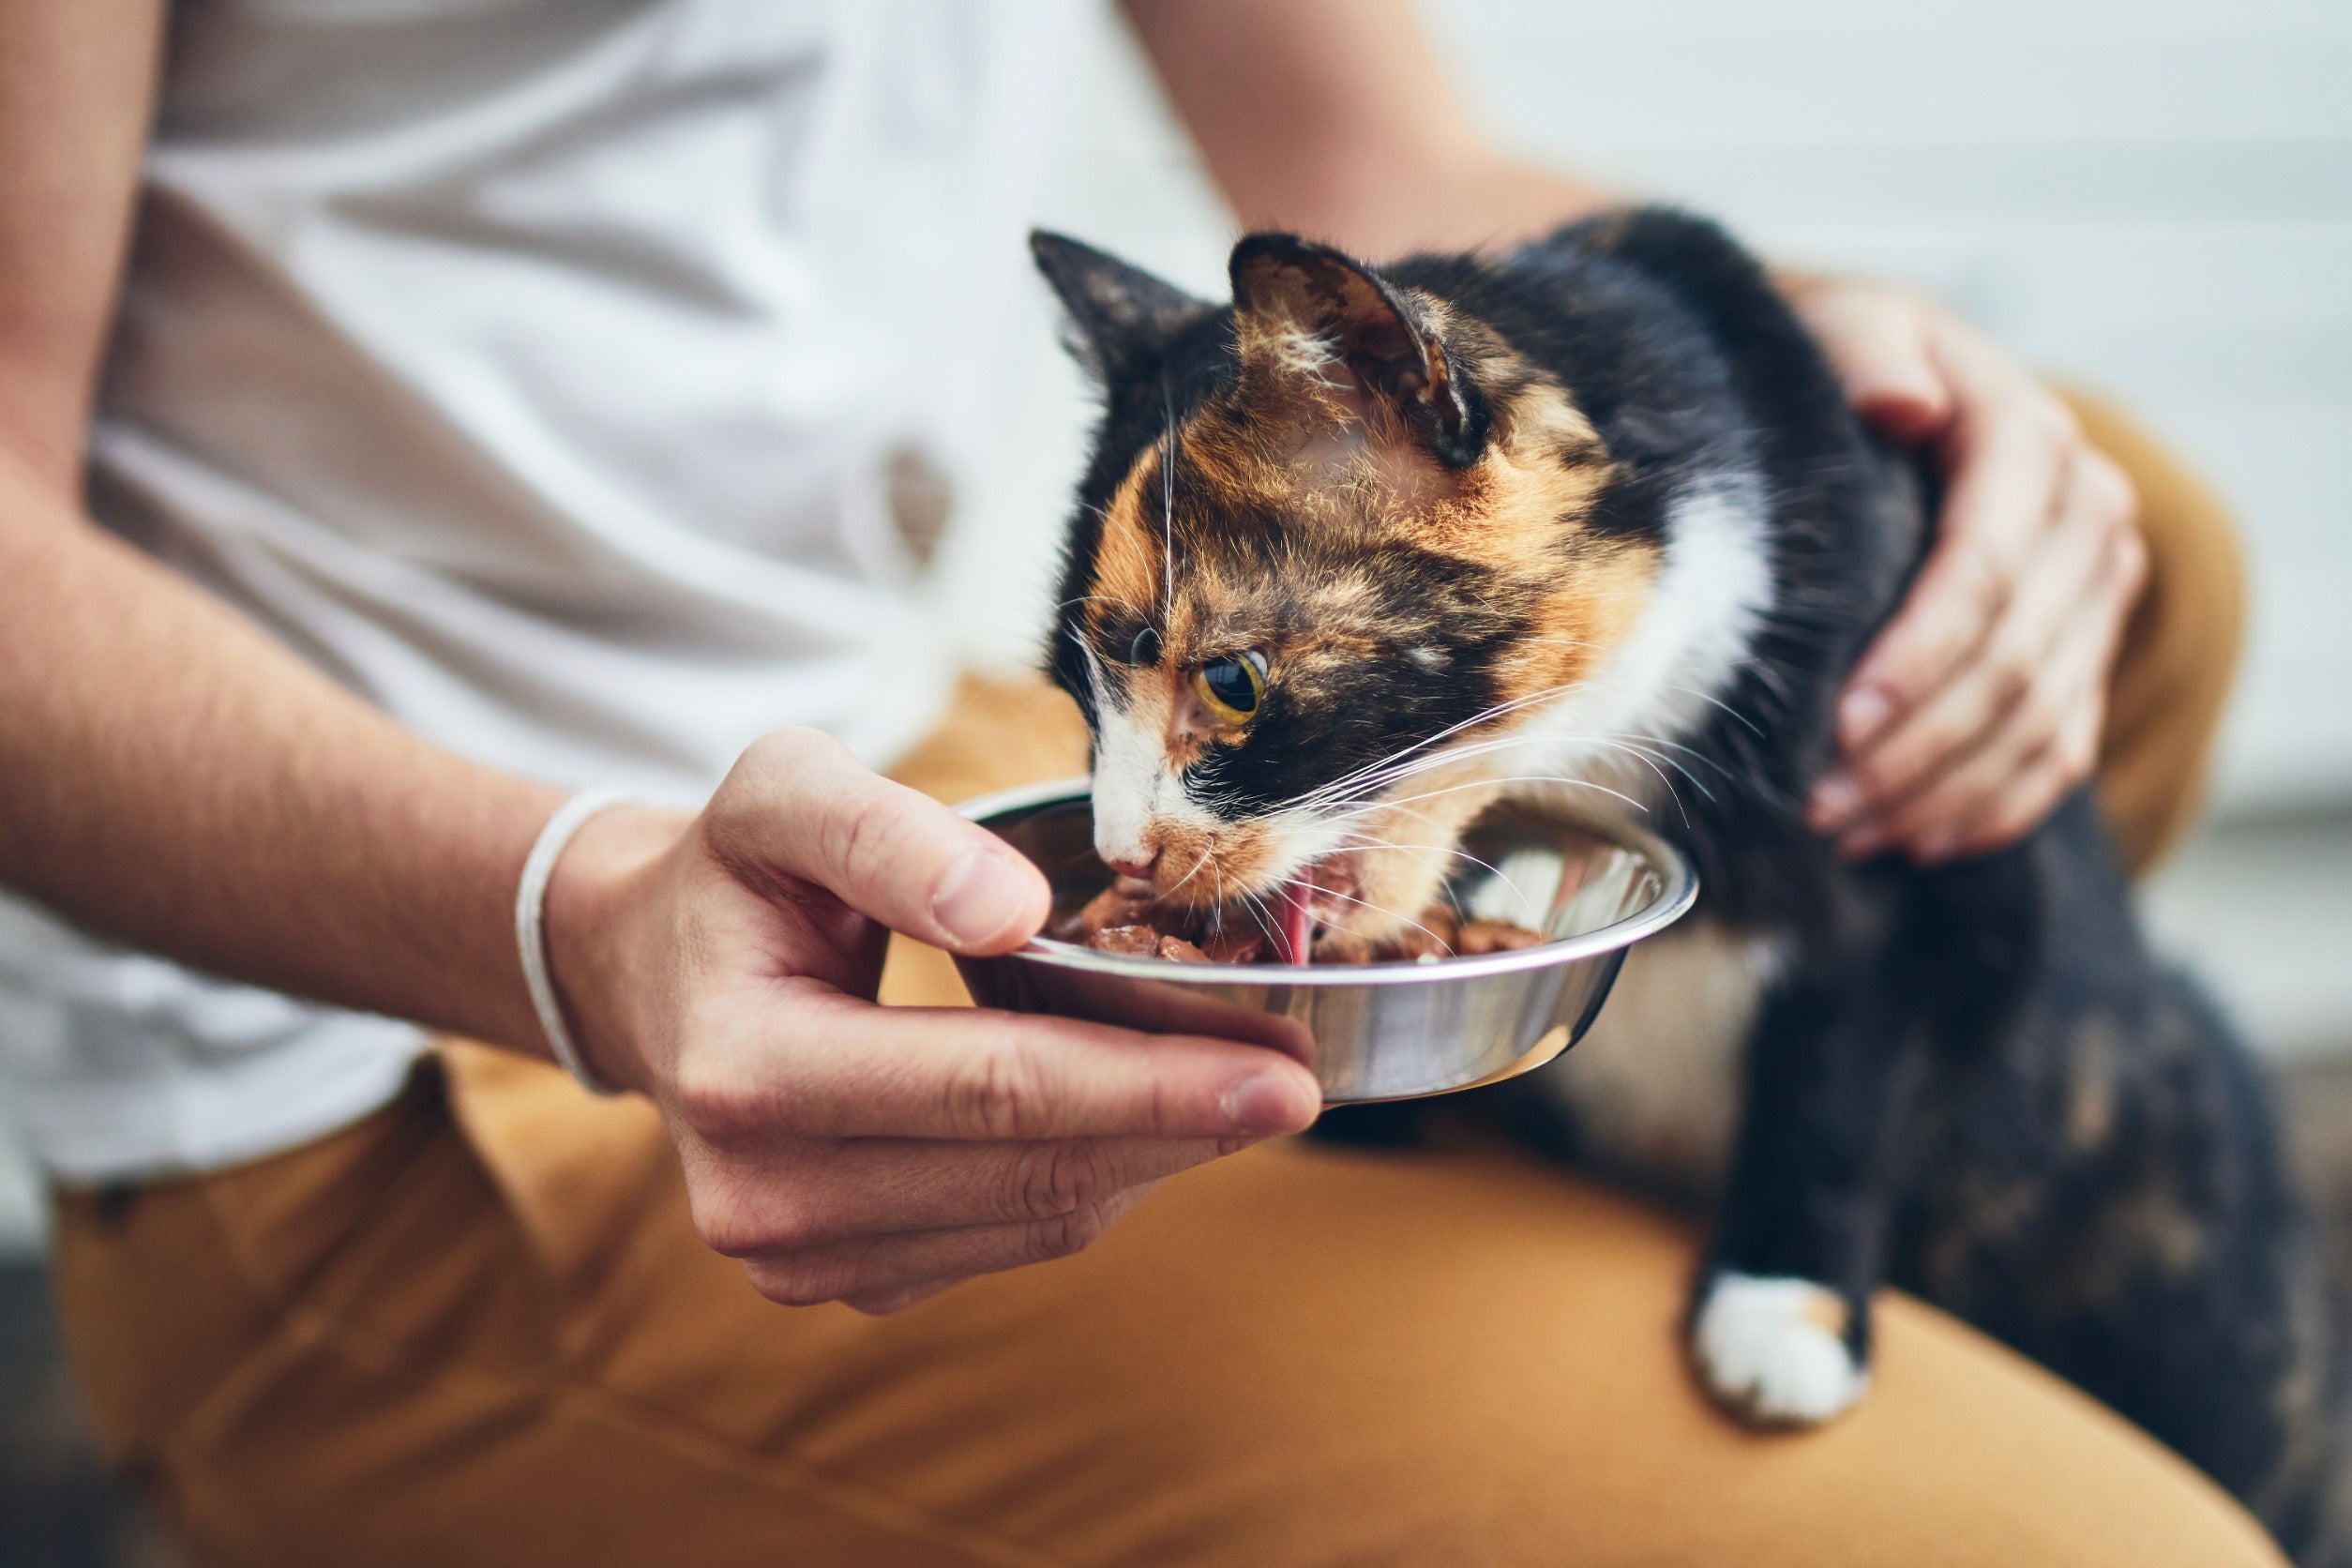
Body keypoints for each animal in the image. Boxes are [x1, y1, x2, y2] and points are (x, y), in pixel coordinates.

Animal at [1030, 205, 2352, 1560]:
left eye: (1233, 683)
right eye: (1075, 693)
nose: (1124, 849)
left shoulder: (1942, 847)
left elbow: (1849, 1070)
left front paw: (1786, 1312)